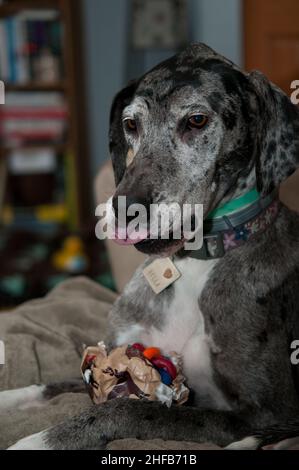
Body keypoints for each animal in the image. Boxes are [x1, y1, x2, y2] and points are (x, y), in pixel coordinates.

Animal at [2, 45, 299, 452]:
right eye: (130, 124)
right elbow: (51, 384)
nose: (124, 208)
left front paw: (41, 441)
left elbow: (128, 410)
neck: (194, 266)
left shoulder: (261, 413)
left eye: (196, 120)